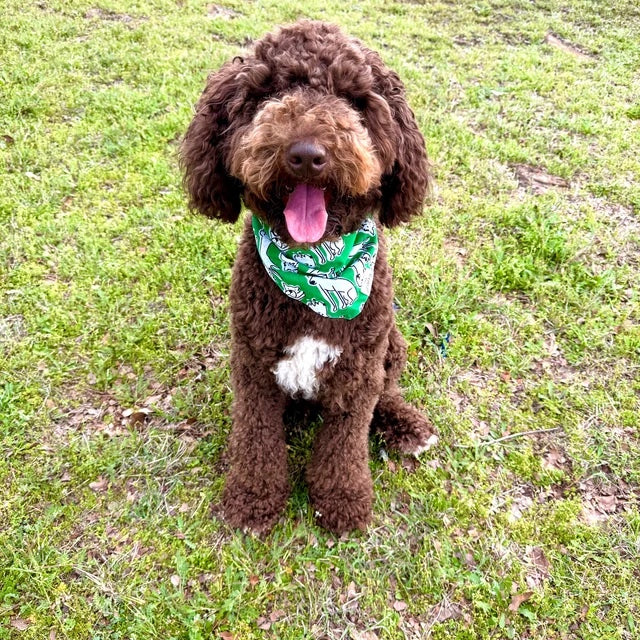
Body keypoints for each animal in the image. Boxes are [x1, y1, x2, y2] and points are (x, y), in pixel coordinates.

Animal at [182, 20, 438, 536]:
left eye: (355, 100)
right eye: (265, 94)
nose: (305, 154)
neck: (313, 271)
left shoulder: (358, 369)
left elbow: (345, 442)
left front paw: (342, 500)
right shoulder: (253, 365)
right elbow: (256, 437)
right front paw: (253, 500)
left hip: (392, 343)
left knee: (387, 391)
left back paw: (406, 425)